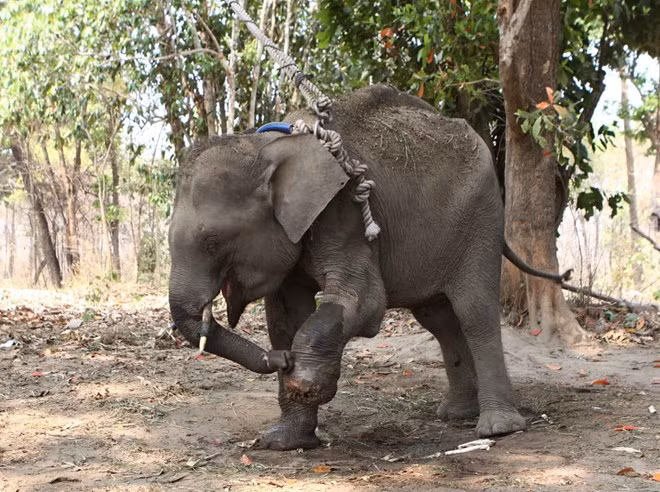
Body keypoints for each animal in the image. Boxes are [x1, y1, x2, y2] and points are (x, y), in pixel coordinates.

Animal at [167, 84, 570, 451]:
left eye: (213, 242)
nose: (281, 361)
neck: (266, 145)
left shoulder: (345, 211)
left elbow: (363, 299)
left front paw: (308, 382)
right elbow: (285, 316)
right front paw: (283, 440)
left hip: (481, 218)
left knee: (473, 311)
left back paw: (497, 428)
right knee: (438, 318)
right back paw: (456, 415)